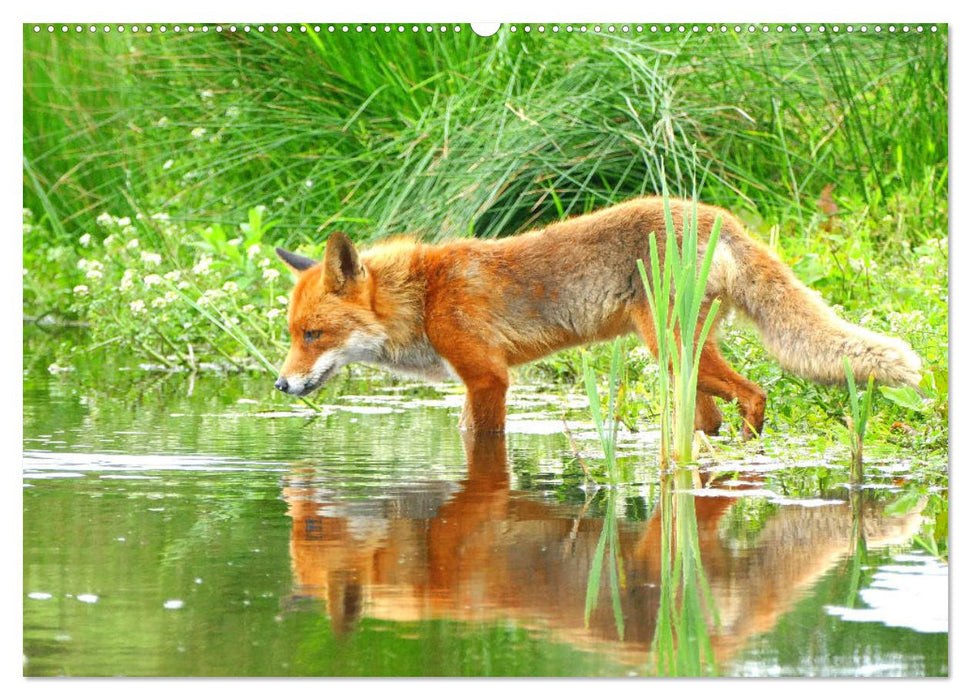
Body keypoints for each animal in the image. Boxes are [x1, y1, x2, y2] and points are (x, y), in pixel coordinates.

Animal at [274, 197, 920, 438]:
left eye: (314, 335)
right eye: (292, 336)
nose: (280, 384)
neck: (424, 297)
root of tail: (717, 214)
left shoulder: (488, 379)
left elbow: (480, 441)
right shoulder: (475, 382)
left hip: (670, 349)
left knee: (756, 393)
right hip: (684, 361)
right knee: (713, 415)